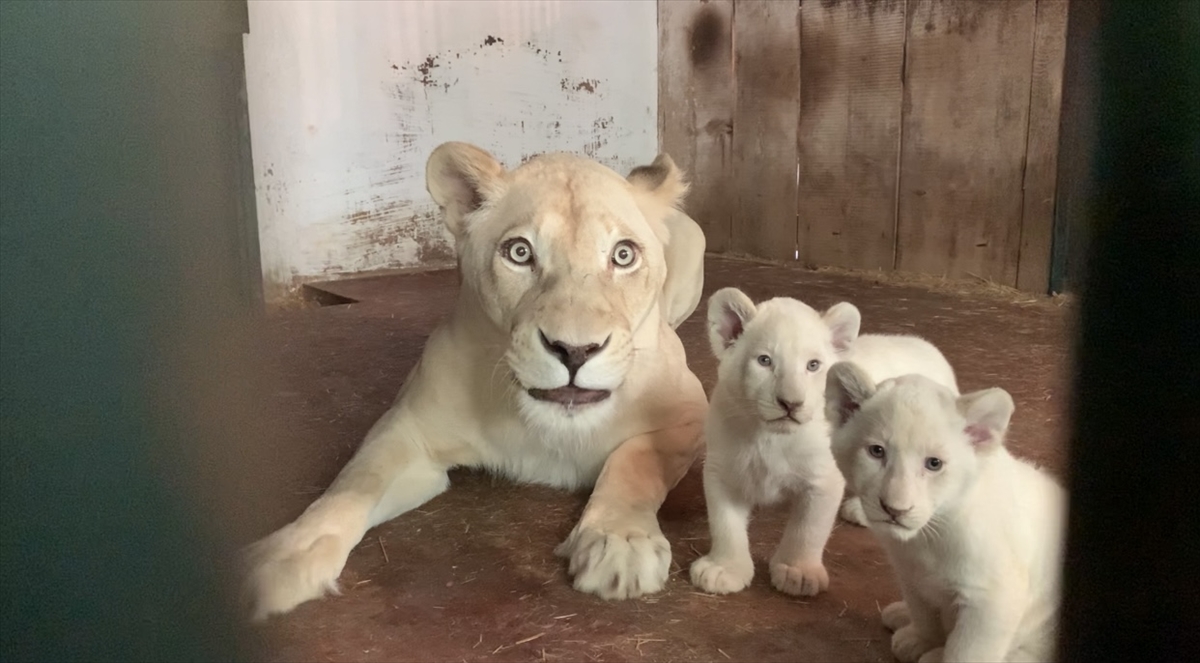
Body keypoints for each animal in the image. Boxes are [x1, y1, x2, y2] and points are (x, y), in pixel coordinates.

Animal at [242, 141, 710, 621]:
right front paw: (281, 560)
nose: (574, 351)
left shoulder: (692, 413)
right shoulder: (410, 429)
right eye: (519, 253)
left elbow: (635, 461)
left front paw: (619, 546)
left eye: (623, 255)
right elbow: (355, 484)